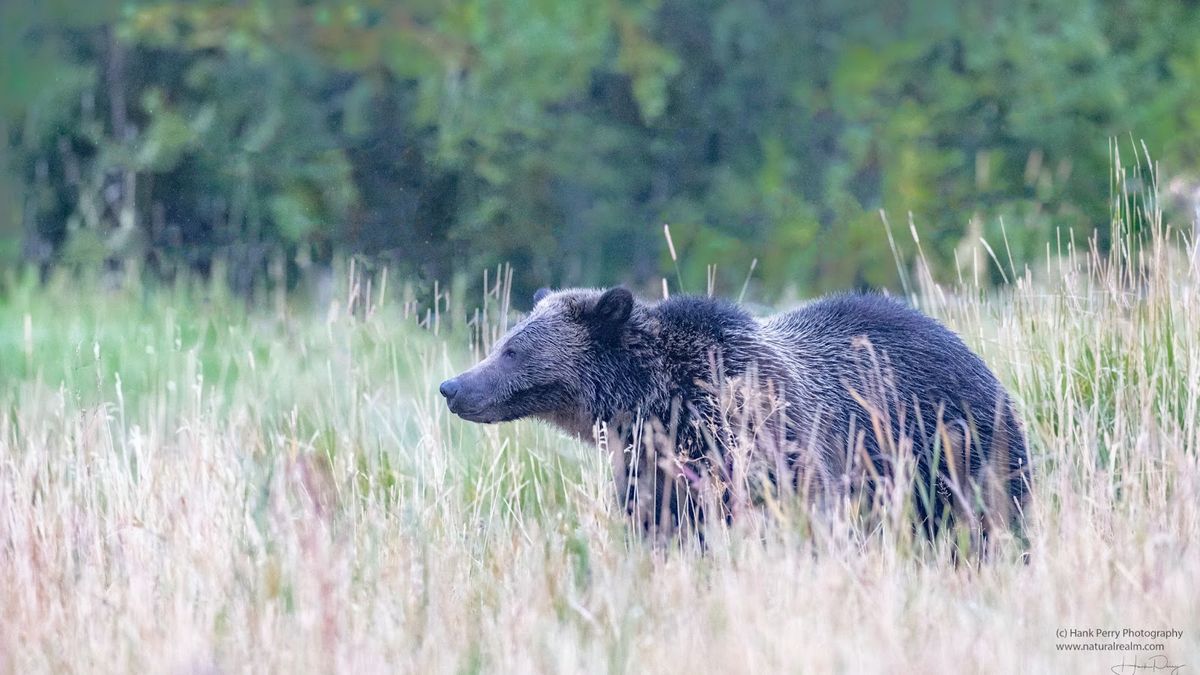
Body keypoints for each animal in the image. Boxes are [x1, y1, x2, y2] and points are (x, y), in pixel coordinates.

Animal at [441, 285, 1032, 542]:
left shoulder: (768, 443)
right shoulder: (653, 470)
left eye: (512, 349)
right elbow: (660, 526)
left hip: (954, 446)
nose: (452, 386)